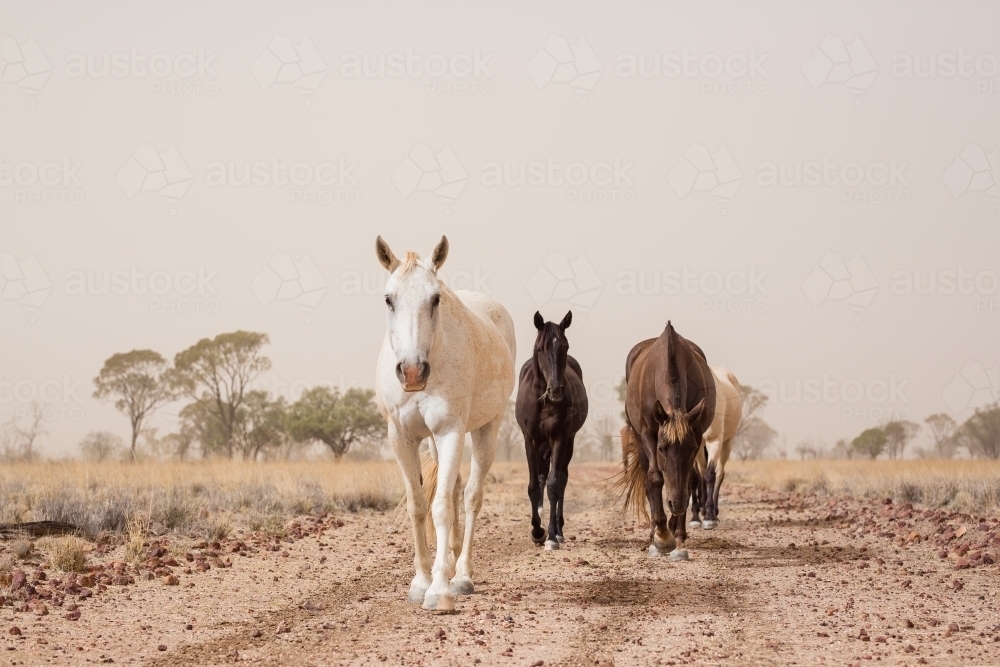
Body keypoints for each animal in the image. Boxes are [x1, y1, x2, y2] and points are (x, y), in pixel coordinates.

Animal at [376, 237, 516, 612]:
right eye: (388, 298)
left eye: (435, 298)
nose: (412, 372)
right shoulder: (401, 437)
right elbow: (418, 505)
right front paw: (420, 582)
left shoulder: (450, 431)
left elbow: (441, 507)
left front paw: (439, 590)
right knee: (452, 490)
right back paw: (451, 563)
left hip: (487, 429)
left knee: (470, 496)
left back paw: (462, 575)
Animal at [516, 310, 584, 552]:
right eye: (540, 348)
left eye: (565, 346)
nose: (556, 390)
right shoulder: (530, 440)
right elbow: (534, 486)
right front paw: (537, 531)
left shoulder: (560, 438)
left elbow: (555, 485)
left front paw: (552, 536)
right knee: (542, 476)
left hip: (569, 442)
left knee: (561, 479)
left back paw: (559, 530)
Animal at [620, 320, 716, 560]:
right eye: (662, 448)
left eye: (691, 448)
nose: (677, 503)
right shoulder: (648, 433)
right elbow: (655, 478)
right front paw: (662, 537)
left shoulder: (696, 432)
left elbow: (688, 481)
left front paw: (678, 539)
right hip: (639, 440)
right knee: (648, 481)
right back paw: (655, 534)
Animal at [688, 368, 744, 528]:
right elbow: (695, 477)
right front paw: (695, 517)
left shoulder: (714, 441)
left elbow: (710, 474)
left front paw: (709, 517)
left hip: (727, 443)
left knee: (719, 474)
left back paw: (714, 512)